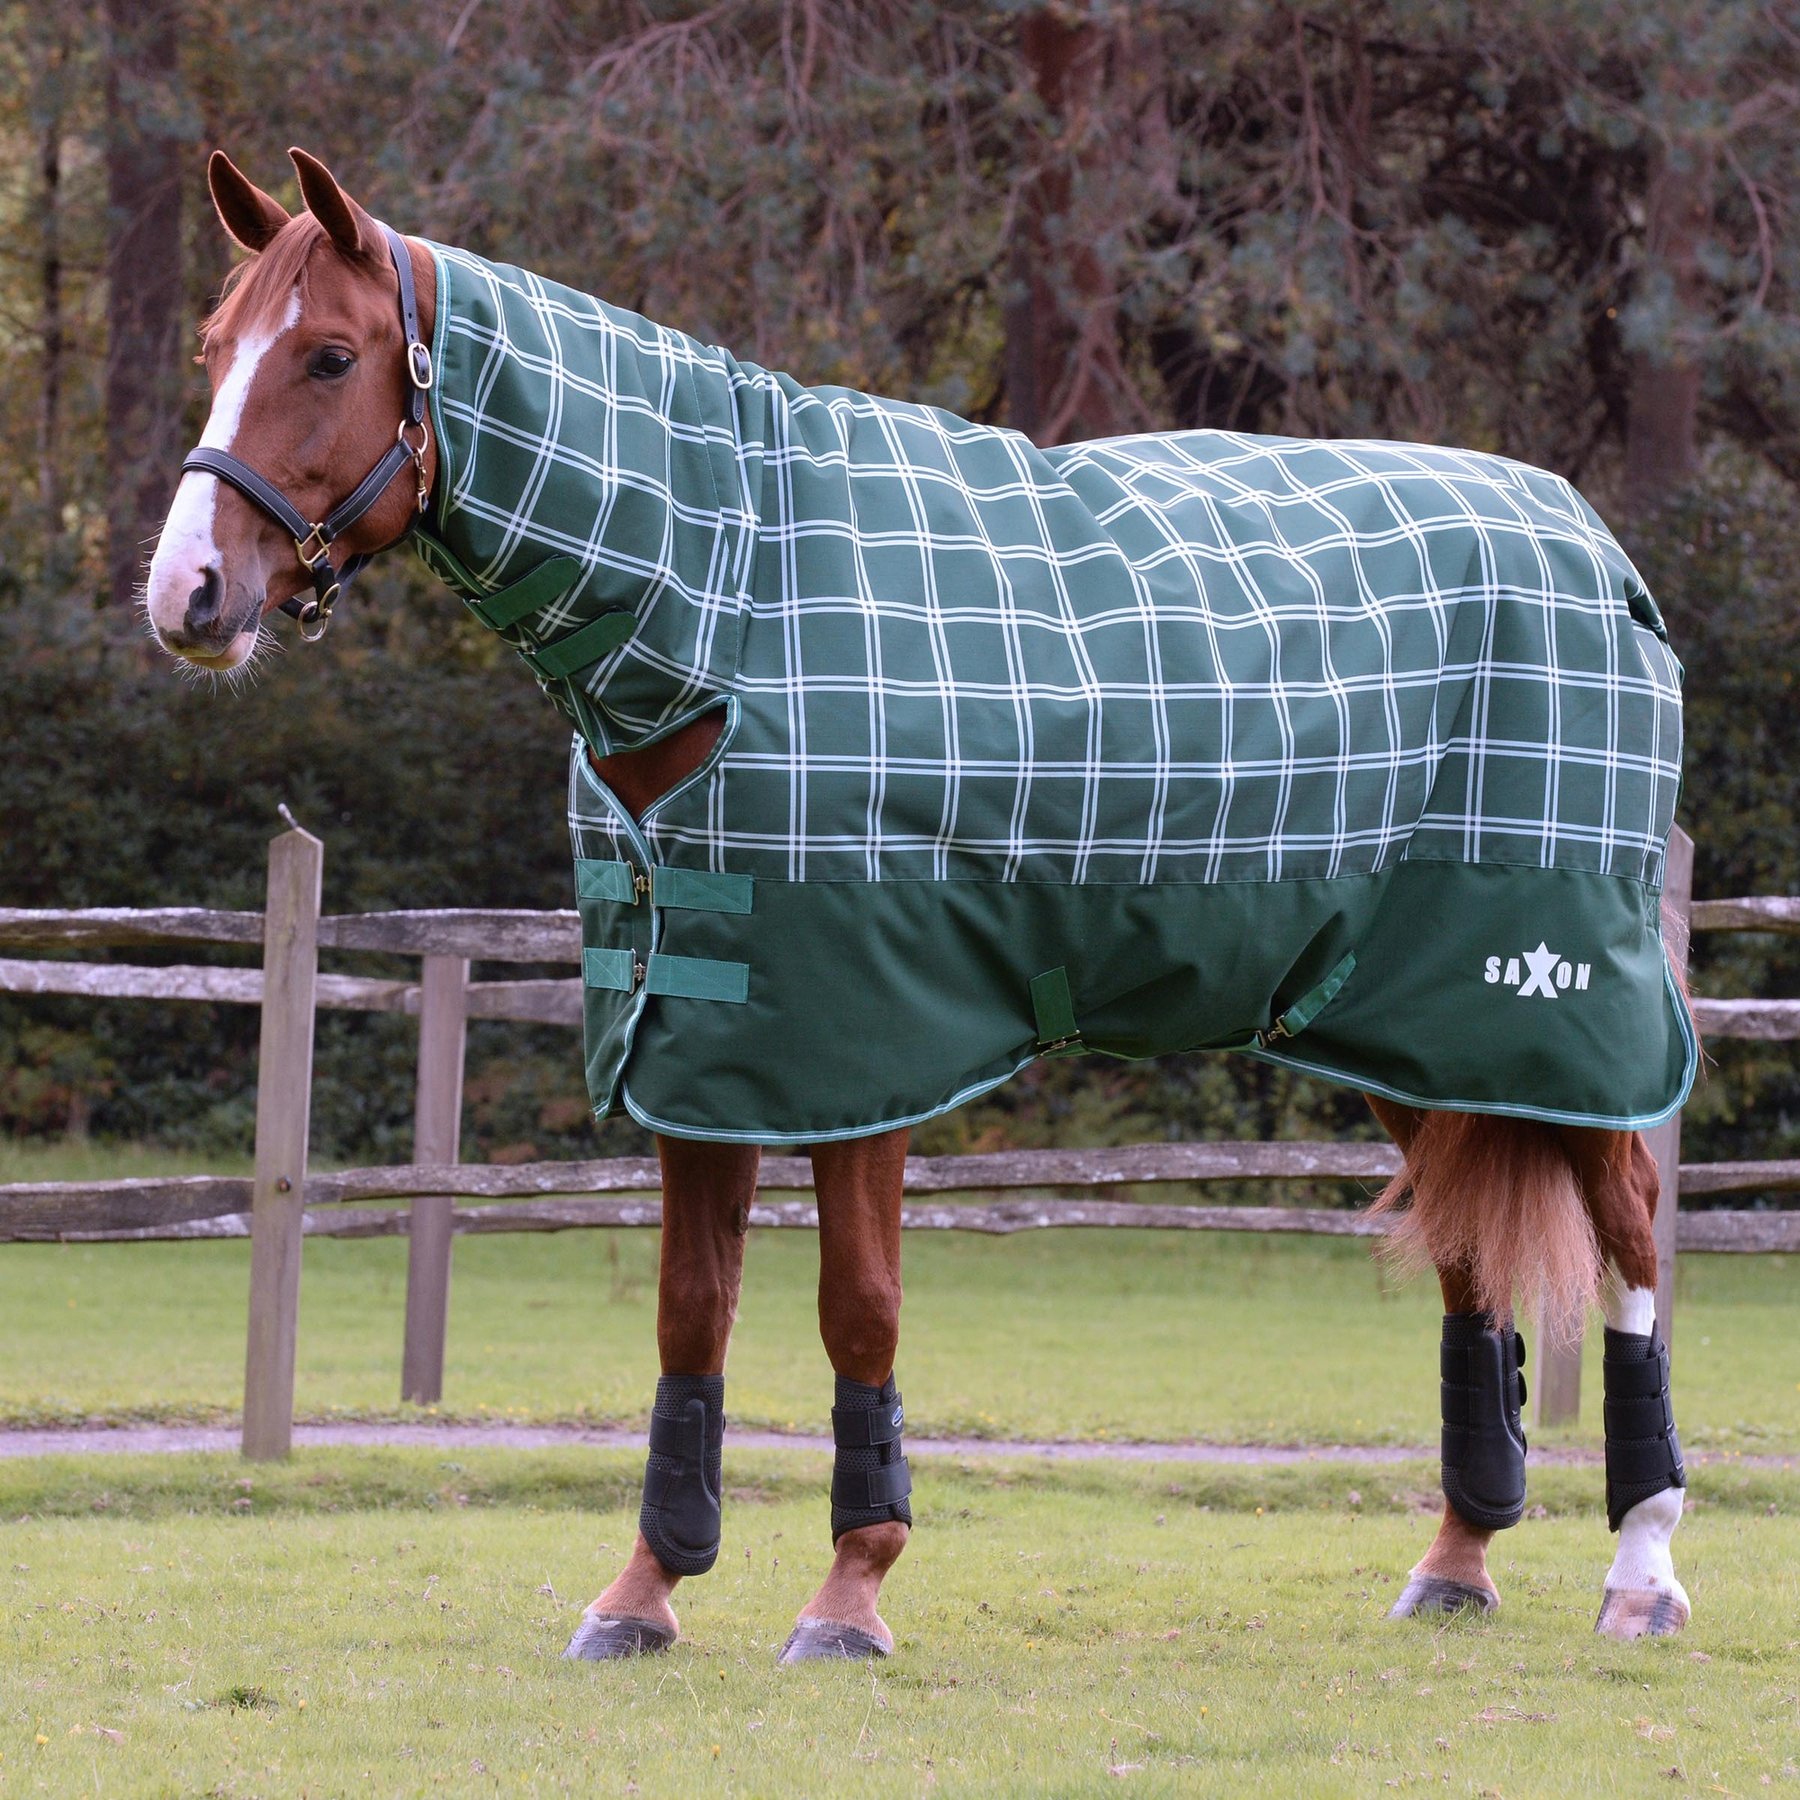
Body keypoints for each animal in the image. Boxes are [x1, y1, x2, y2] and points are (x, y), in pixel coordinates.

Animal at [144, 147, 1697, 1661]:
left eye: (330, 356)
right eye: (215, 350)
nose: (186, 594)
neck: (732, 606)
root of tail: (1594, 548)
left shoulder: (860, 1049)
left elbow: (859, 1311)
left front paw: (849, 1590)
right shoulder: (703, 1048)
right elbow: (691, 1314)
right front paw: (646, 1589)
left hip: (1547, 1006)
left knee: (1629, 1224)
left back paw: (1642, 1569)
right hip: (1405, 1022)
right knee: (1467, 1257)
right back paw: (1457, 1562)